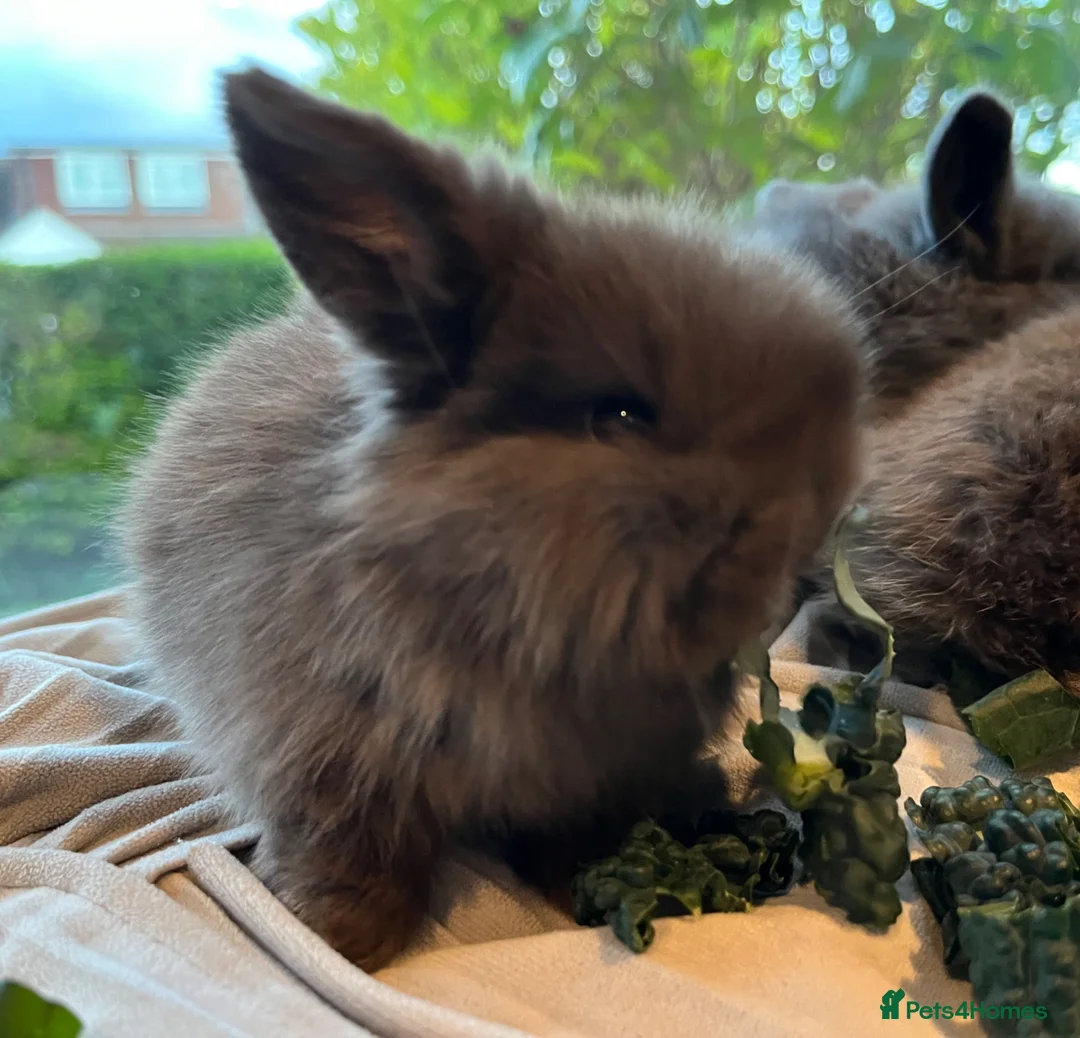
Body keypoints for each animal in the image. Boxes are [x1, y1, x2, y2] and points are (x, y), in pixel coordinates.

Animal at [118, 69, 863, 971]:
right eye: (618, 417)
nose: (801, 565)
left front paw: (589, 874)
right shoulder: (317, 758)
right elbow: (355, 848)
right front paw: (335, 932)